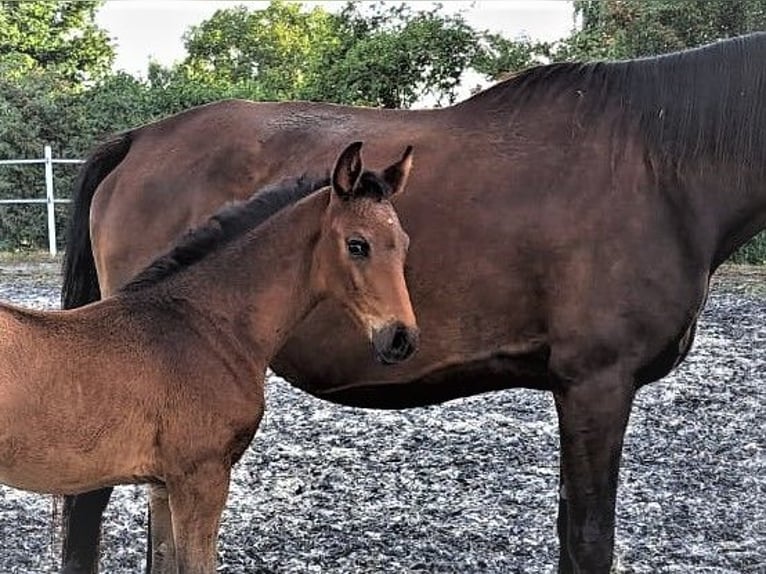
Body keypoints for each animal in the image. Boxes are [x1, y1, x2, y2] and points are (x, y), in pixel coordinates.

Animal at [1, 141, 420, 574]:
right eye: (357, 244)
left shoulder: (163, 486)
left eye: (403, 242)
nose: (401, 338)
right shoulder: (201, 478)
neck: (206, 326)